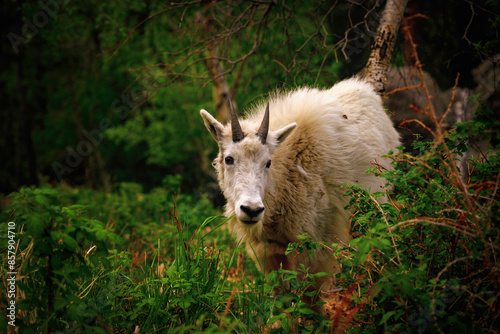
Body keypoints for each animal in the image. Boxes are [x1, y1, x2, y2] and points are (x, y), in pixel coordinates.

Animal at [199, 78, 398, 314]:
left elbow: (309, 297)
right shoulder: (269, 250)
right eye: (229, 159)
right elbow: (281, 297)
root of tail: (368, 93)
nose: (252, 210)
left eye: (268, 162)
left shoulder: (313, 245)